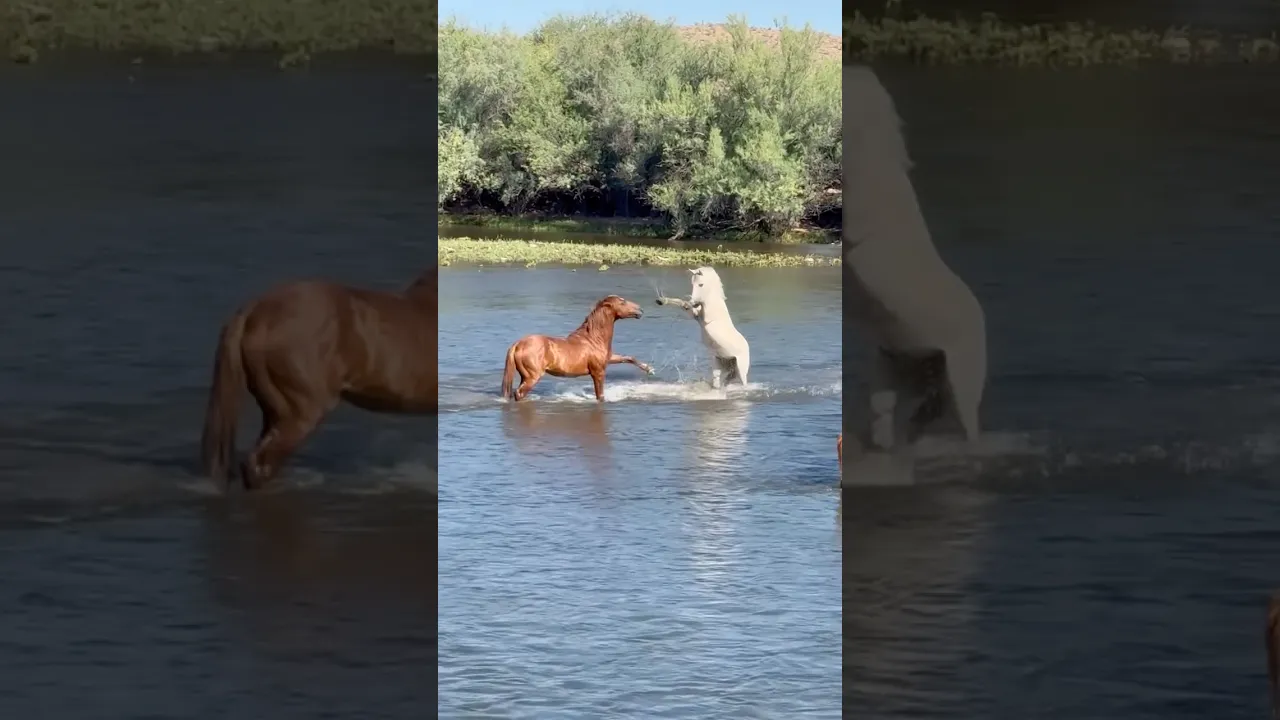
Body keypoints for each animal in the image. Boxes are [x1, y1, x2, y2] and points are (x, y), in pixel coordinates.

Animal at [500, 294, 654, 402]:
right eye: (622, 302)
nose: (640, 310)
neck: (594, 338)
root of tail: (518, 344)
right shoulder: (598, 372)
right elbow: (600, 396)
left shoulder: (609, 359)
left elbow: (628, 358)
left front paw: (650, 369)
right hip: (533, 377)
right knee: (519, 393)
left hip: (525, 376)